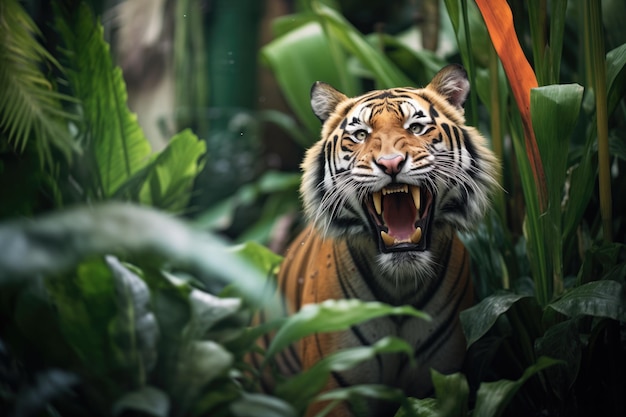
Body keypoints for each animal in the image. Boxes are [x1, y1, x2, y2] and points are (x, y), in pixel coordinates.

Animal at [266, 63, 494, 414]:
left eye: (417, 127)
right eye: (360, 134)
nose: (391, 164)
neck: (401, 284)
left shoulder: (442, 380)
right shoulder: (330, 387)